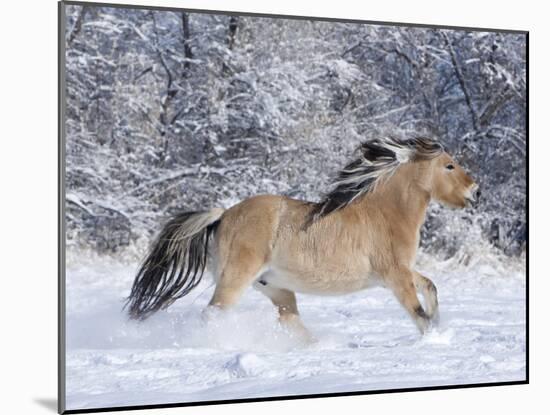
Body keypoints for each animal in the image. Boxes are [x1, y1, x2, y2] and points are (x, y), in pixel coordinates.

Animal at [127, 136, 480, 338]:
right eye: (450, 166)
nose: (475, 191)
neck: (385, 214)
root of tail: (223, 215)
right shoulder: (395, 276)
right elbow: (418, 313)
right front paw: (434, 338)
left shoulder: (402, 271)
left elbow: (430, 287)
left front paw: (439, 321)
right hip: (236, 280)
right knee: (212, 314)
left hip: (277, 289)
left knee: (290, 321)